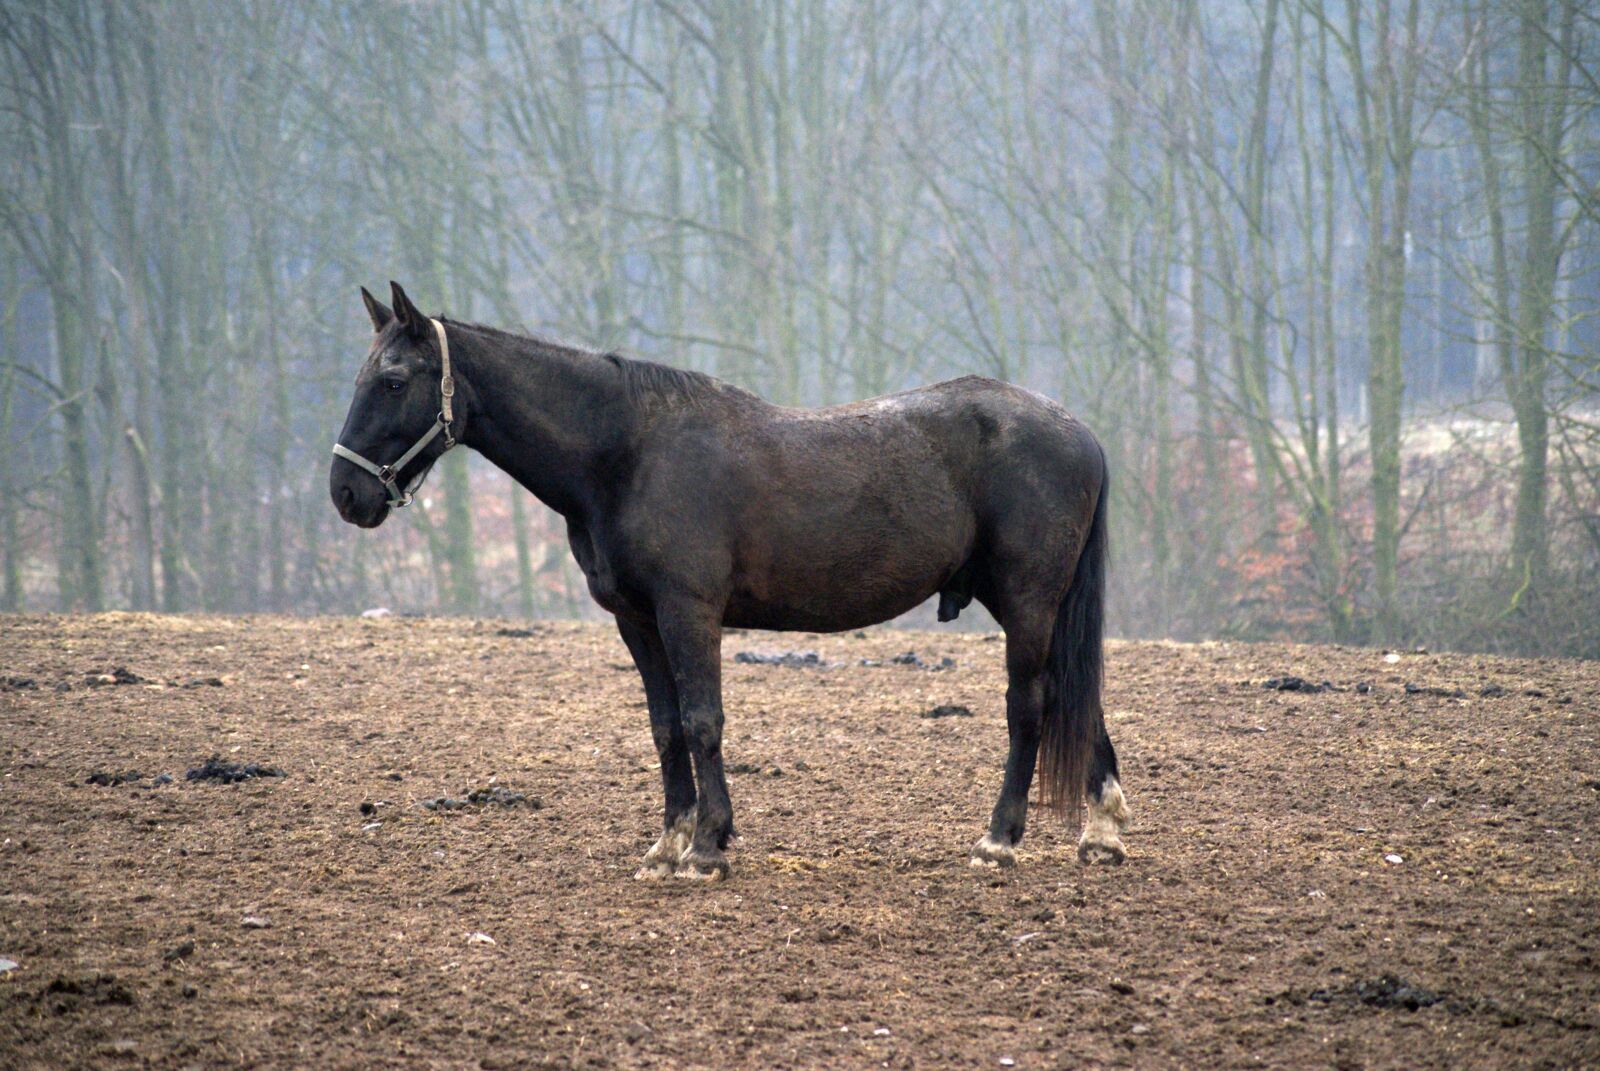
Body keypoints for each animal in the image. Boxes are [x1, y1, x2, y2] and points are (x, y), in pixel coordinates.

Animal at [330, 282, 1129, 880]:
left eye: (394, 381)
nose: (346, 493)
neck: (626, 452)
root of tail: (1081, 432)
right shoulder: (637, 619)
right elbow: (664, 728)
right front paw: (670, 841)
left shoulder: (689, 612)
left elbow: (702, 720)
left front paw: (710, 845)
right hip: (1032, 603)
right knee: (1074, 696)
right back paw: (1103, 829)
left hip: (1027, 601)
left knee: (1030, 707)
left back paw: (999, 838)